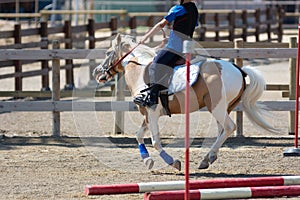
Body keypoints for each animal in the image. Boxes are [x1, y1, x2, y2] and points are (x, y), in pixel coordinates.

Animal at [92, 34, 276, 170]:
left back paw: (208, 157)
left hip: (216, 107)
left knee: (230, 127)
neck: (139, 71)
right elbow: (138, 136)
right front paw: (147, 160)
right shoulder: (147, 115)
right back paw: (208, 158)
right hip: (223, 109)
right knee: (222, 130)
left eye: (107, 52)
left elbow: (155, 141)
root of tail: (239, 70)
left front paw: (172, 162)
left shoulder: (152, 113)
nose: (97, 73)